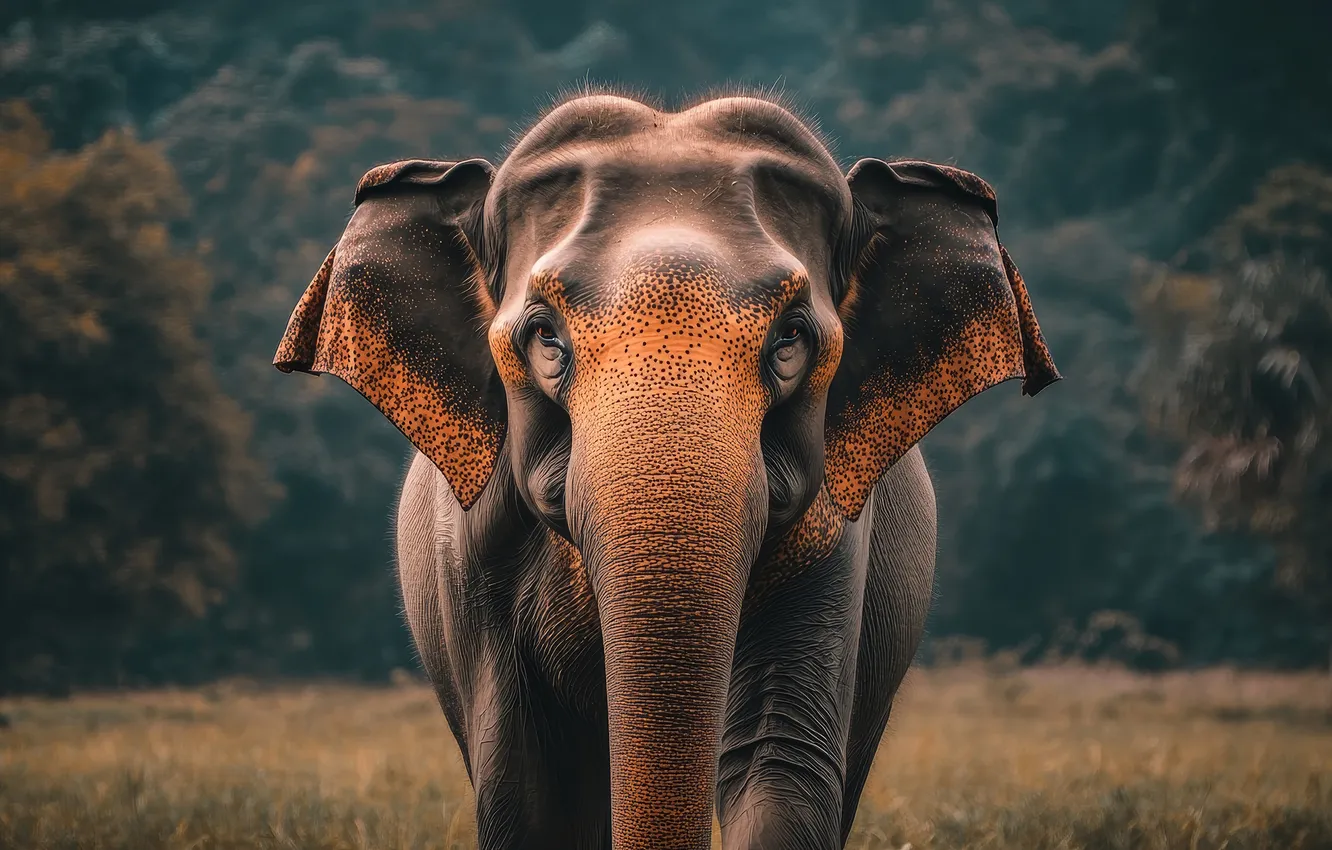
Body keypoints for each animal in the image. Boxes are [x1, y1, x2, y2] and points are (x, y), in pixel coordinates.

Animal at [273, 93, 1060, 850]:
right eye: (545, 336)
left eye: (791, 339)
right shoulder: (472, 559)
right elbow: (533, 793)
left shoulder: (835, 535)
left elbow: (776, 763)